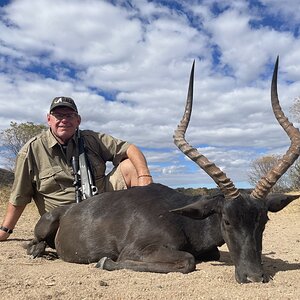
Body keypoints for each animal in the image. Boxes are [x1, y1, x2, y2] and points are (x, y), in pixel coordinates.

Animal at [27, 56, 298, 284]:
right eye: (227, 221)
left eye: (263, 220)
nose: (254, 277)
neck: (181, 218)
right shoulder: (138, 249)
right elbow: (187, 261)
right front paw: (105, 262)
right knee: (35, 244)